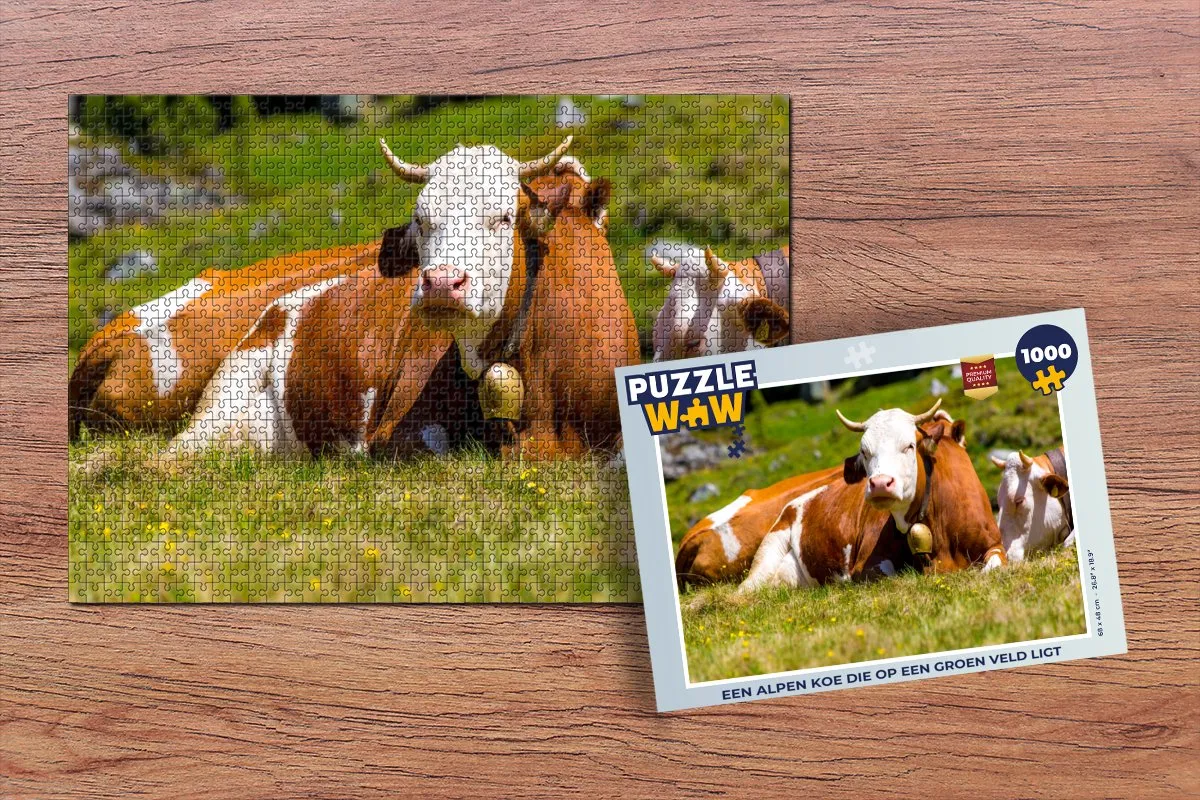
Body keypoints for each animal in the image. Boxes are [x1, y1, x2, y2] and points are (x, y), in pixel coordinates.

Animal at [736, 399, 1004, 593]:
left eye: (910, 445)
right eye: (864, 451)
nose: (880, 484)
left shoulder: (995, 546)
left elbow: (993, 568)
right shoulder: (867, 564)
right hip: (767, 552)